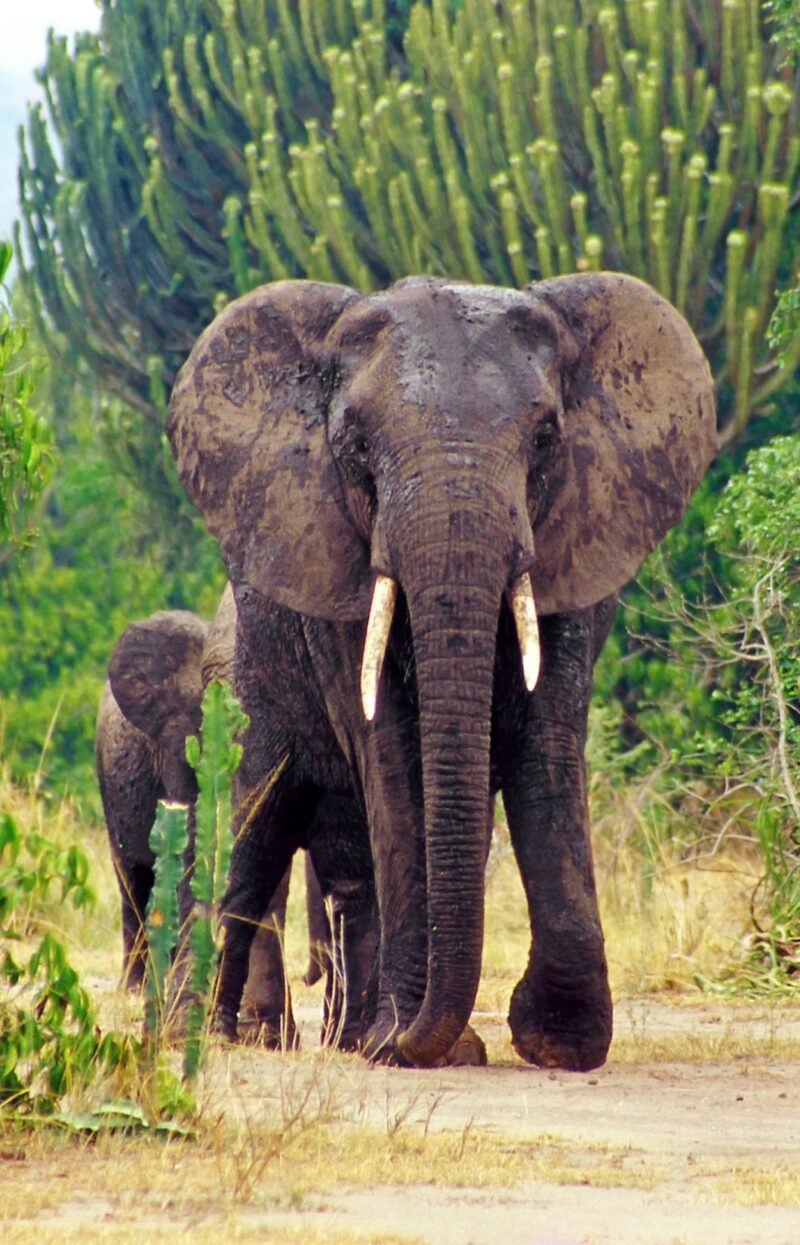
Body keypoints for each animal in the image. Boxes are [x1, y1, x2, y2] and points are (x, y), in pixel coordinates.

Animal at [166, 272, 717, 1071]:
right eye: (355, 447)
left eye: (546, 439)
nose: (415, 1034)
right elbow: (392, 755)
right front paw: (404, 1039)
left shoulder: (574, 544)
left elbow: (547, 743)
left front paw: (556, 1039)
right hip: (243, 677)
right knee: (251, 825)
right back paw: (207, 1031)